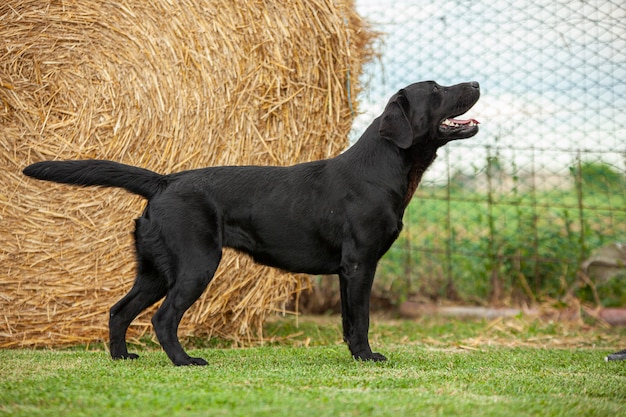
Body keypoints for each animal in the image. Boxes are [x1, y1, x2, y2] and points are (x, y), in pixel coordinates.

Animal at [23, 80, 478, 364]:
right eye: (435, 90)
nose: (475, 83)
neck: (383, 168)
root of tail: (165, 181)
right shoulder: (360, 264)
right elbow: (362, 319)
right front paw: (368, 358)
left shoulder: (347, 271)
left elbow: (349, 322)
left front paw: (355, 356)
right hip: (196, 264)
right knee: (162, 318)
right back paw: (185, 361)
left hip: (154, 270)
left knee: (119, 311)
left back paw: (122, 358)